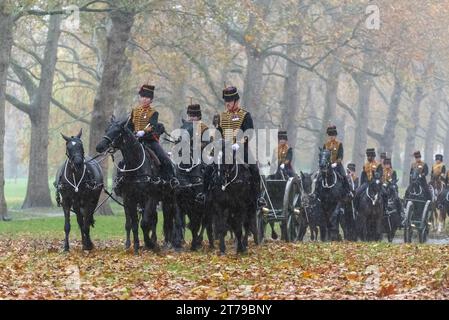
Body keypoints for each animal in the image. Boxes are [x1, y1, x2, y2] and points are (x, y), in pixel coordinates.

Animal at [96, 116, 184, 254]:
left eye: (117, 131)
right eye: (106, 129)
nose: (99, 146)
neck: (135, 166)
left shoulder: (150, 198)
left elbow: (145, 222)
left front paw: (150, 243)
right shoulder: (129, 199)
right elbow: (134, 224)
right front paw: (137, 246)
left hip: (171, 198)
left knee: (175, 219)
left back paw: (175, 244)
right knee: (163, 220)